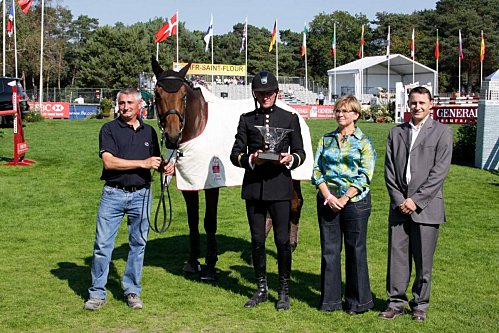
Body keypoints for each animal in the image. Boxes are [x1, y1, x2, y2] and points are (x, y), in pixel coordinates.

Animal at [150, 58, 302, 278]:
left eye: (183, 95)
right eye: (157, 94)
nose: (172, 136)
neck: (197, 125)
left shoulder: (212, 182)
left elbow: (209, 221)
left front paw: (210, 264)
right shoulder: (190, 182)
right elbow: (193, 220)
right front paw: (192, 262)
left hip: (295, 174)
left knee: (295, 204)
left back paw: (290, 244)